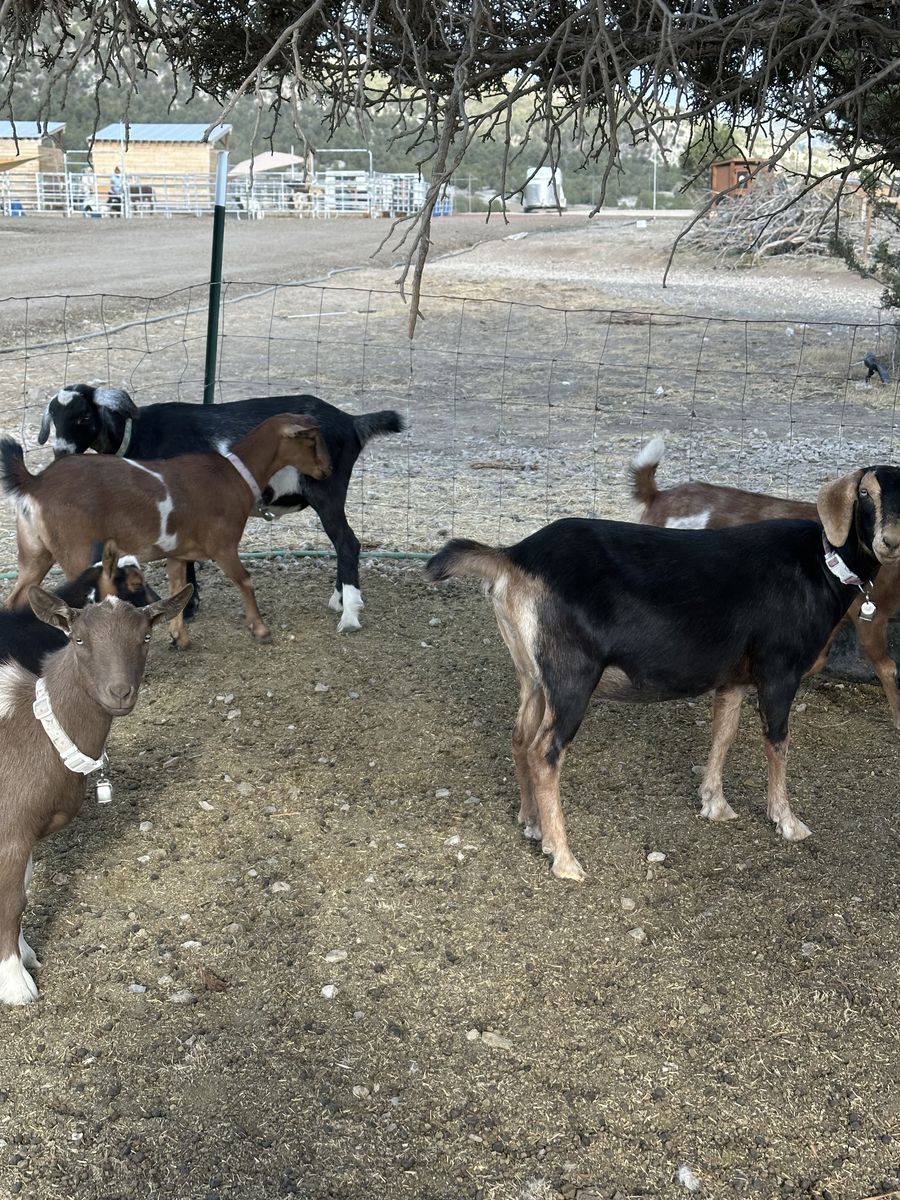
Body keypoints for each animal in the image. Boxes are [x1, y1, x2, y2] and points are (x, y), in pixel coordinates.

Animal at [0, 582, 192, 1004]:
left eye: (146, 637)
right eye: (78, 638)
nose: (119, 693)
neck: (39, 727)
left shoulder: (27, 833)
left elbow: (23, 888)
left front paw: (25, 955)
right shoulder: (10, 831)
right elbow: (12, 900)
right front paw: (16, 985)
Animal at [1, 413, 331, 650]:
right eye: (311, 439)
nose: (326, 470)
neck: (235, 475)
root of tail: (35, 483)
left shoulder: (179, 552)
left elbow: (177, 590)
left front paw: (179, 638)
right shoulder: (223, 545)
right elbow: (244, 580)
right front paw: (261, 629)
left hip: (35, 551)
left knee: (16, 599)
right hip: (76, 549)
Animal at [39, 383, 405, 632]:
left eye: (84, 415)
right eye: (54, 418)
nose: (61, 452)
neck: (138, 433)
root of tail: (351, 422)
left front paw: (185, 610)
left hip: (327, 488)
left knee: (347, 542)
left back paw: (350, 614)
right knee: (343, 543)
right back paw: (339, 599)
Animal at [426, 466, 900, 882]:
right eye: (863, 494)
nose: (890, 542)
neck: (822, 561)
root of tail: (511, 557)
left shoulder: (733, 676)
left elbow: (723, 733)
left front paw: (715, 804)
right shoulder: (779, 669)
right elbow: (778, 742)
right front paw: (787, 821)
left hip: (533, 674)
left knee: (521, 737)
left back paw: (532, 823)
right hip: (571, 673)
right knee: (545, 751)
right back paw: (563, 858)